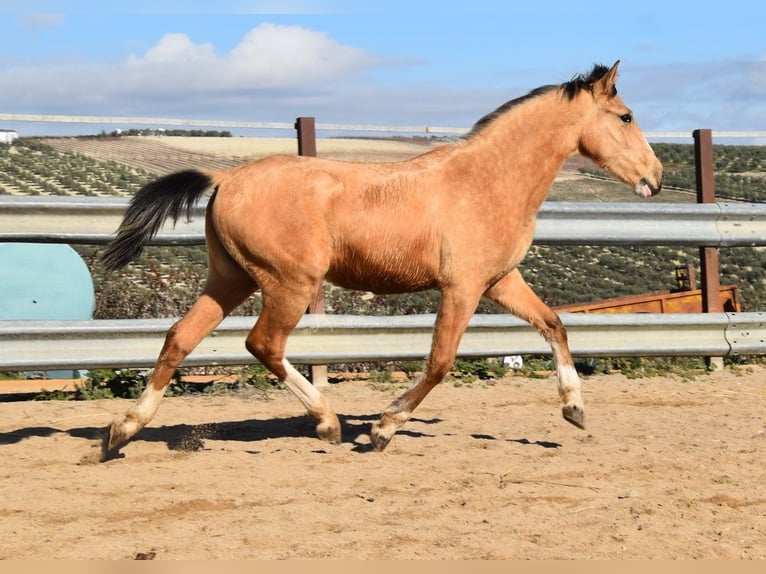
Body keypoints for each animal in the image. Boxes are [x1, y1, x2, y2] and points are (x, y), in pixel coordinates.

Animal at [99, 60, 664, 462]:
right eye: (626, 116)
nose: (655, 177)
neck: (489, 180)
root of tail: (224, 179)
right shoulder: (462, 287)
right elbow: (439, 363)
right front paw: (381, 429)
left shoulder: (500, 281)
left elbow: (554, 325)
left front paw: (575, 410)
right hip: (289, 283)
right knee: (263, 344)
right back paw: (327, 423)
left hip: (231, 278)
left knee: (180, 336)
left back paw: (122, 430)